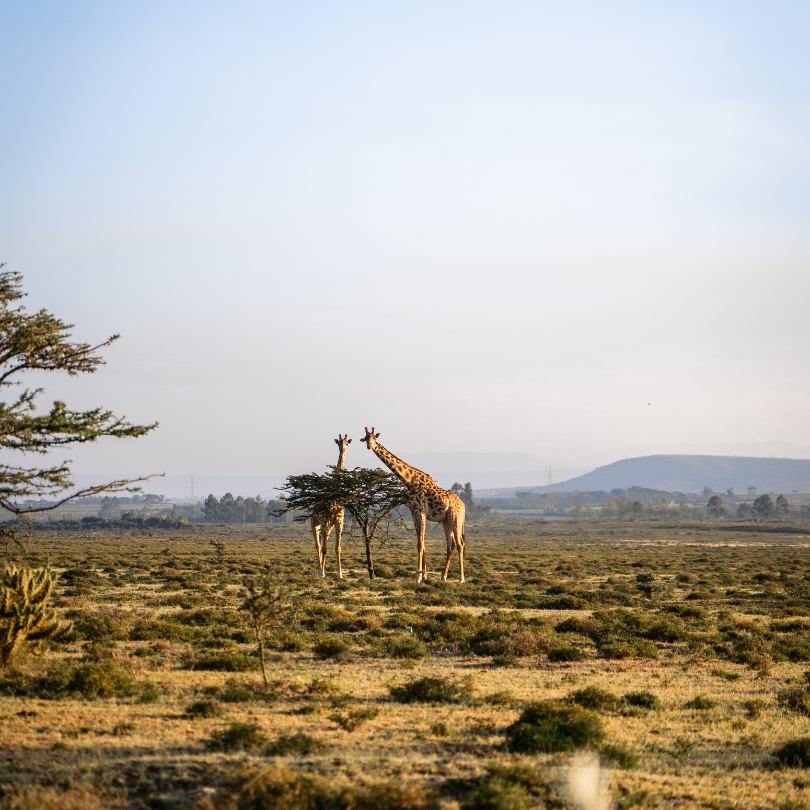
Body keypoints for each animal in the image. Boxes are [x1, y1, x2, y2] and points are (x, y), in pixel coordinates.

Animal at [308, 432, 348, 576]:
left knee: (322, 543)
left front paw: (340, 574)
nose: (343, 449)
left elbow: (337, 548)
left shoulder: (339, 521)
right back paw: (320, 571)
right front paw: (322, 573)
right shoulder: (325, 520)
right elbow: (324, 548)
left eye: (347, 443)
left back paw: (322, 569)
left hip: (328, 526)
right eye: (338, 443)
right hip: (315, 523)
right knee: (318, 545)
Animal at [362, 426, 468, 584]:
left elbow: (419, 544)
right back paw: (443, 577)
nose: (369, 446)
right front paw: (424, 576)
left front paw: (418, 577)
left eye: (374, 438)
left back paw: (461, 578)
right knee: (451, 545)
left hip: (456, 518)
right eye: (365, 438)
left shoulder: (420, 512)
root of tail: (464, 507)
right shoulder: (414, 513)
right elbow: (422, 544)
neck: (409, 481)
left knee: (460, 544)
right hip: (446, 520)